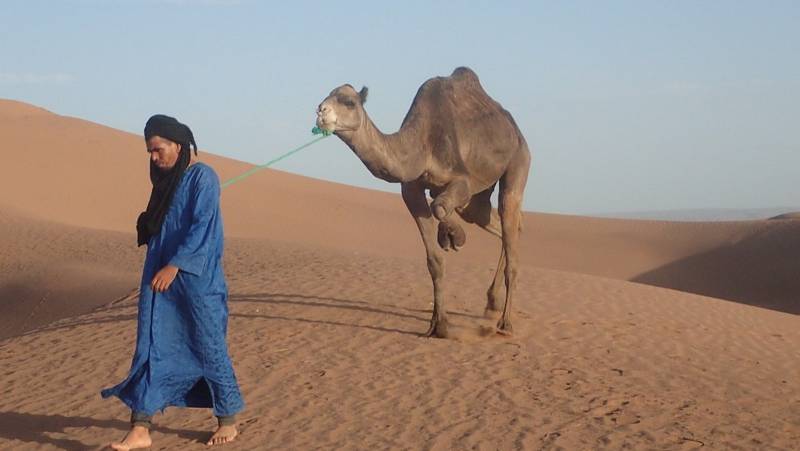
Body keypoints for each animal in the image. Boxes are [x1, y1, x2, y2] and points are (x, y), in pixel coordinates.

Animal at [318, 66, 532, 336]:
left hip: (518, 161)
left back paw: (505, 322)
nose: (320, 110)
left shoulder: (462, 179)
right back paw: (492, 302)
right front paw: (439, 324)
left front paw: (454, 235)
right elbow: (434, 260)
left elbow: (439, 206)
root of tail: (515, 130)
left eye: (349, 101)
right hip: (479, 196)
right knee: (498, 221)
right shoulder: (412, 191)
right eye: (326, 96)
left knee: (509, 210)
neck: (421, 144)